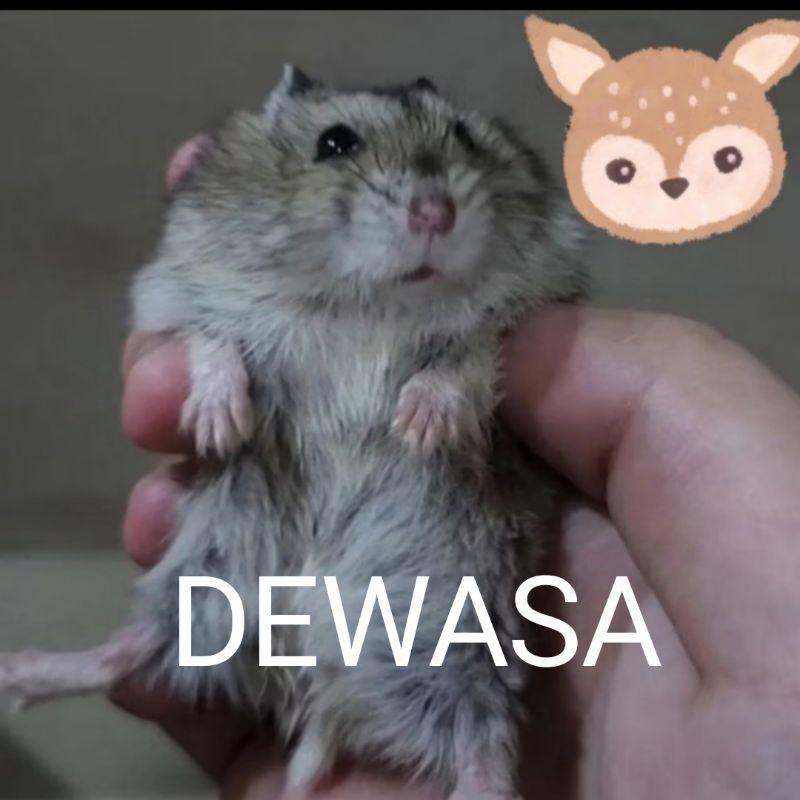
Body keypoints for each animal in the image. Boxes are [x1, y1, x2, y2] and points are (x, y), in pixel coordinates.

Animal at [0, 67, 586, 799]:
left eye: (463, 136)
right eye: (335, 143)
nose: (435, 213)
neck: (372, 301)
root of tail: (316, 682)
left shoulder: (528, 310)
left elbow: (465, 360)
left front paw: (423, 426)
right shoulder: (174, 293)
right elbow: (211, 342)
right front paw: (220, 424)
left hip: (464, 650)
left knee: (481, 748)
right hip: (203, 581)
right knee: (125, 657)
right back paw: (17, 673)